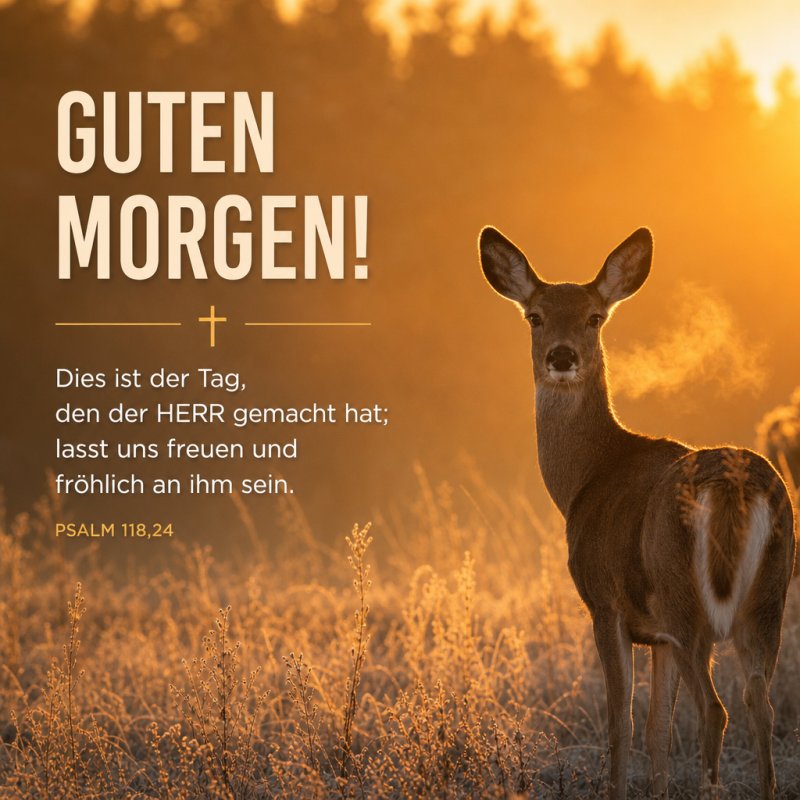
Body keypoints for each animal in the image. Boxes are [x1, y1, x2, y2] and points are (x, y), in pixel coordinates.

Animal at [478, 225, 796, 800]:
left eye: (594, 317)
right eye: (535, 315)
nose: (561, 356)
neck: (587, 476)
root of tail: (735, 486)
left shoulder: (606, 604)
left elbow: (621, 722)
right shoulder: (658, 634)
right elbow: (657, 731)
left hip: (686, 598)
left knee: (716, 711)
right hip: (767, 601)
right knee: (759, 704)